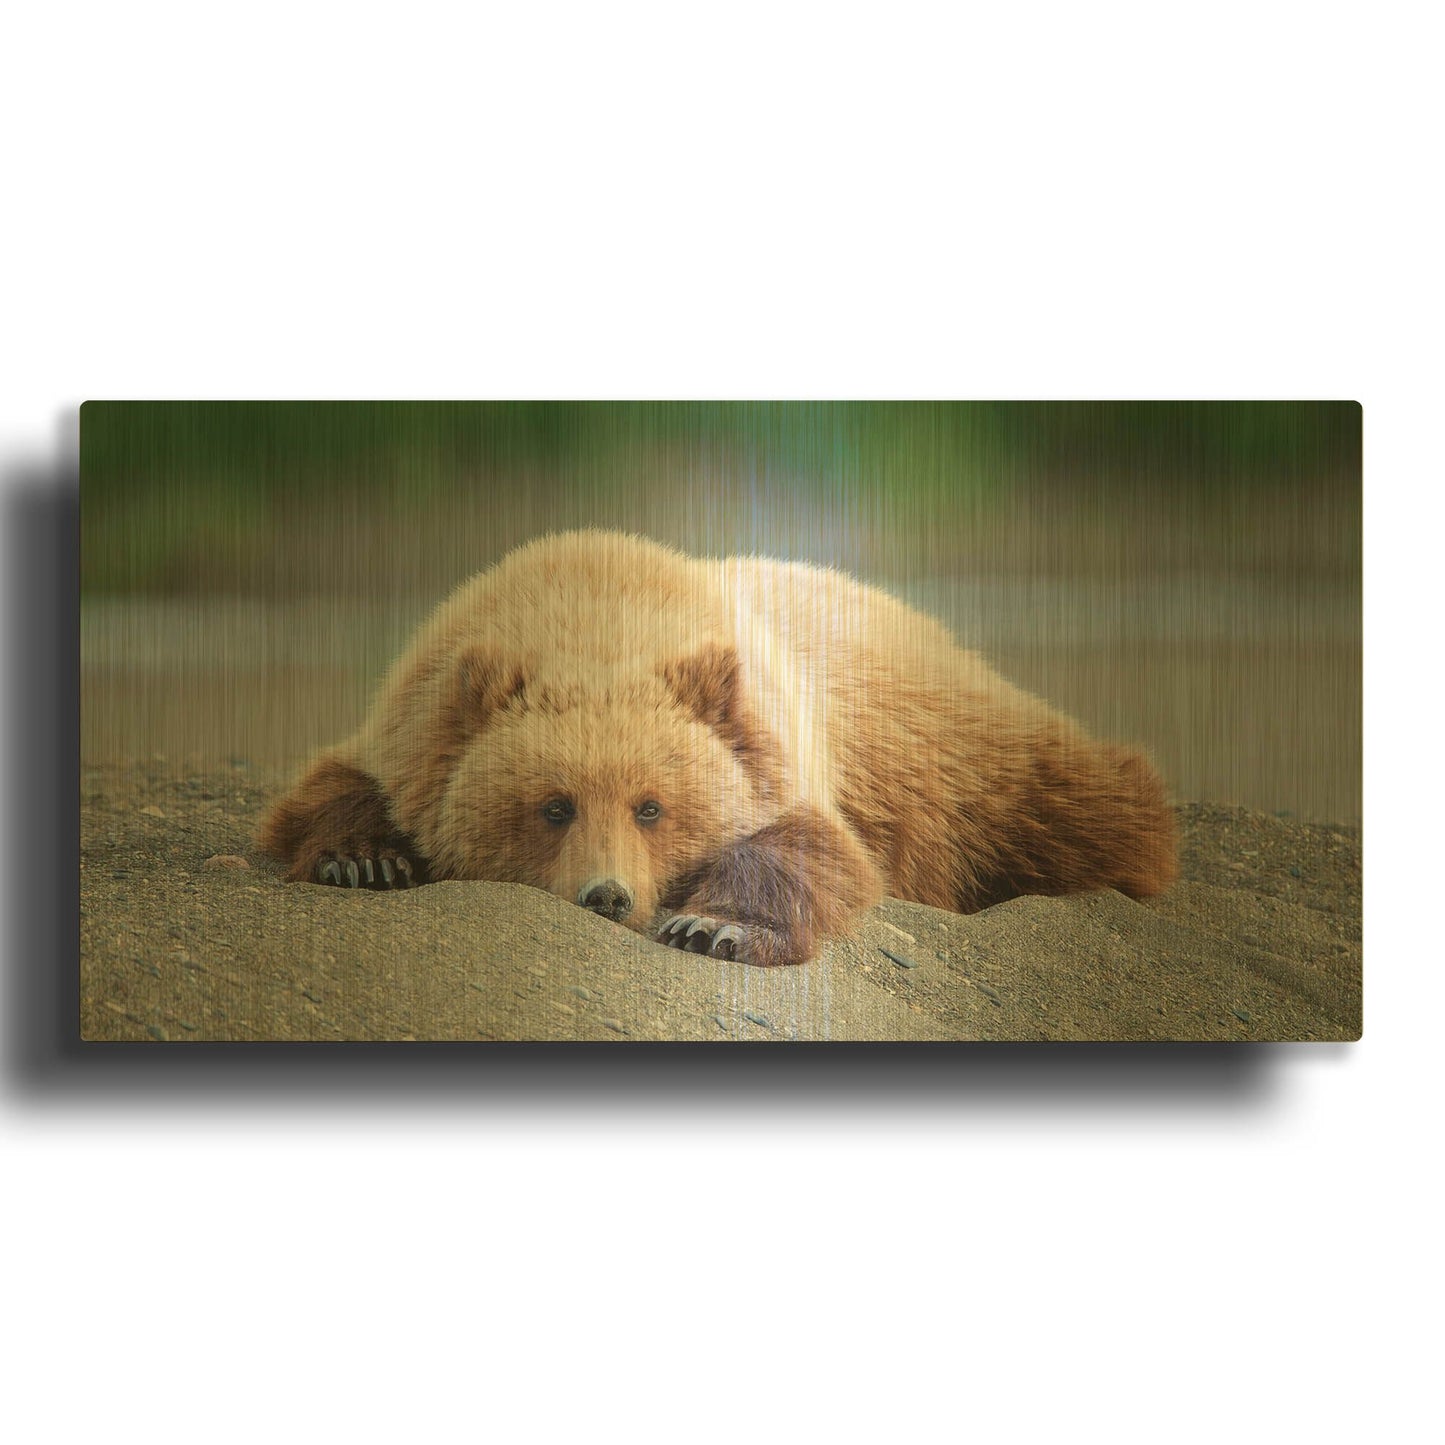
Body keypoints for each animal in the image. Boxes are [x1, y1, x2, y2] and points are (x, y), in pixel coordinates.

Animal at [256, 529, 1178, 966]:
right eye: (553, 805)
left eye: (651, 805)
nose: (606, 895)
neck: (592, 613)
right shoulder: (415, 717)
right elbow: (334, 785)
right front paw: (363, 857)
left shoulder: (781, 746)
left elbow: (806, 850)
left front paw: (712, 925)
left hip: (954, 755)